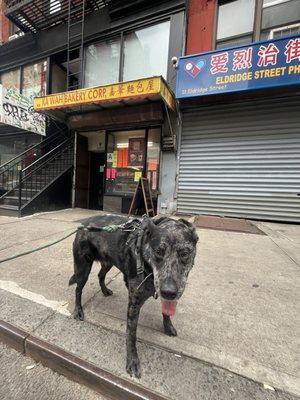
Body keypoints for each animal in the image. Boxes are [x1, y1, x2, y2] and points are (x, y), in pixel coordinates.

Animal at [69, 214, 198, 376]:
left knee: (100, 275)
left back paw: (105, 290)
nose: (169, 291)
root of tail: (84, 223)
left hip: (108, 262)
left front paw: (168, 326)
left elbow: (166, 311)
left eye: (184, 254)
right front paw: (132, 360)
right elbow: (131, 334)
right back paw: (78, 310)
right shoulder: (134, 302)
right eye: (158, 252)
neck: (147, 265)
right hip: (83, 269)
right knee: (78, 289)